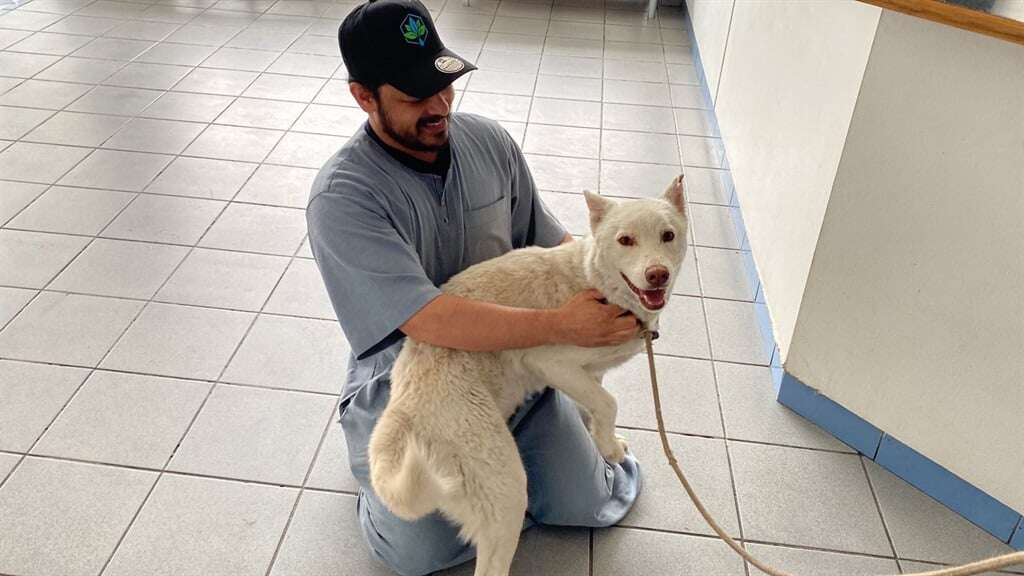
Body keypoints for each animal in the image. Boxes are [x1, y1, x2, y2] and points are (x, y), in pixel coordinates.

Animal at [366, 175, 688, 573]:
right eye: (625, 240)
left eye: (668, 235)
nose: (657, 274)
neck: (595, 281)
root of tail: (404, 412)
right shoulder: (553, 363)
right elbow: (608, 403)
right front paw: (609, 449)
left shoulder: (588, 374)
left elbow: (594, 406)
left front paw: (600, 439)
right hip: (506, 488)